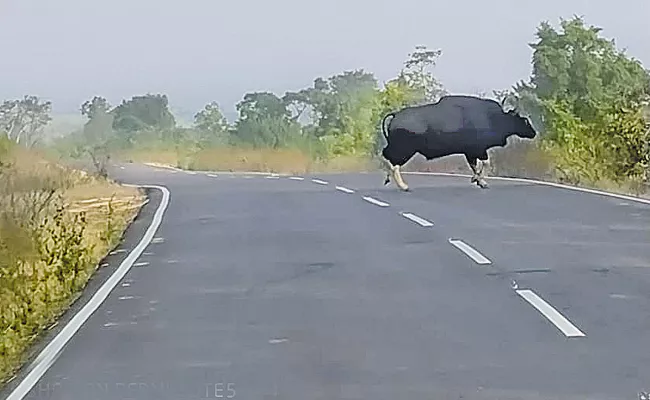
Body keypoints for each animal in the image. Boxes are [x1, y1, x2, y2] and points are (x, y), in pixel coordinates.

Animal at [378, 95, 536, 192]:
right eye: (524, 120)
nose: (533, 133)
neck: (492, 117)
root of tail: (396, 115)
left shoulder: (470, 152)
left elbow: (474, 166)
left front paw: (478, 180)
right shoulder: (479, 150)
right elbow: (486, 164)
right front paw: (480, 181)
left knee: (387, 159)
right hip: (404, 149)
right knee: (392, 163)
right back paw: (404, 186)